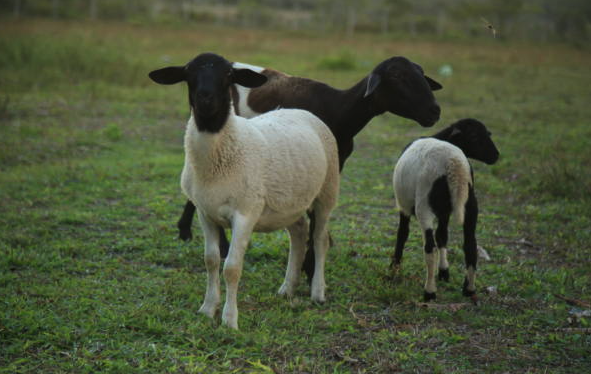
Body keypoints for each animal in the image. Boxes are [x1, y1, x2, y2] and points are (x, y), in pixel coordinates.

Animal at [150, 53, 340, 330]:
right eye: (188, 74)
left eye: (229, 75)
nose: (205, 99)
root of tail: (299, 110)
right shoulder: (205, 212)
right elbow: (211, 260)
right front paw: (207, 309)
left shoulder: (245, 213)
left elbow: (231, 267)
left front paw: (230, 320)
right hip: (288, 201)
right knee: (298, 232)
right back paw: (287, 288)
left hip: (327, 190)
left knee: (319, 238)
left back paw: (317, 292)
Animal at [176, 55, 444, 284]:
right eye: (397, 77)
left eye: (422, 73)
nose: (435, 110)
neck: (340, 110)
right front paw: (309, 267)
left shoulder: (335, 162)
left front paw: (312, 258)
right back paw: (207, 238)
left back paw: (188, 231)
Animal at [394, 118, 500, 302]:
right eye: (475, 136)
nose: (496, 156)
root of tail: (453, 164)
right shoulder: (444, 212)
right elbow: (443, 236)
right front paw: (444, 272)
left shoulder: (404, 206)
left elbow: (402, 234)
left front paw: (394, 268)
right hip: (471, 205)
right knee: (470, 245)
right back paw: (469, 289)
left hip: (424, 206)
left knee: (430, 249)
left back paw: (429, 292)